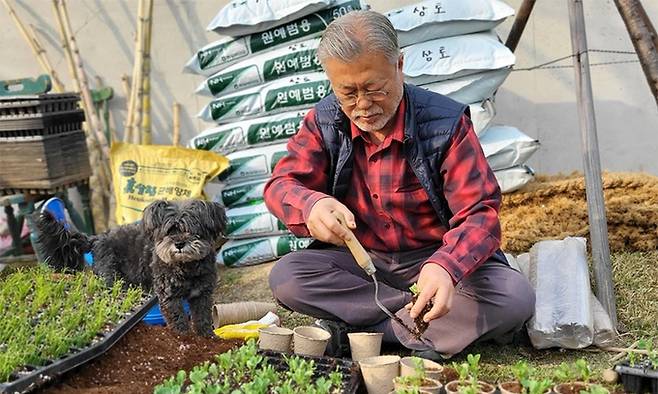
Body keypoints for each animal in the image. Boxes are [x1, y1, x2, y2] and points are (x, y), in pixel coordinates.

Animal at [35, 199, 226, 338]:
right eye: (170, 231)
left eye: (192, 230)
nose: (179, 244)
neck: (187, 266)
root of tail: (95, 239)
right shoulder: (169, 296)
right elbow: (178, 318)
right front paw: (184, 338)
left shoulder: (202, 294)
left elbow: (203, 317)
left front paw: (207, 338)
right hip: (111, 279)